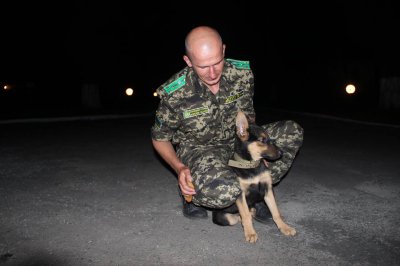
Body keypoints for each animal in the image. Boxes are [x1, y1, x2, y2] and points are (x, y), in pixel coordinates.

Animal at [212, 110, 296, 243]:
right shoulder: (240, 194)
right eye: (262, 140)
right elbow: (245, 215)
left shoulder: (268, 189)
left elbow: (275, 211)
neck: (252, 166)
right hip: (225, 217)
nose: (281, 153)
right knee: (238, 217)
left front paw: (284, 227)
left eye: (269, 139)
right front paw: (250, 233)